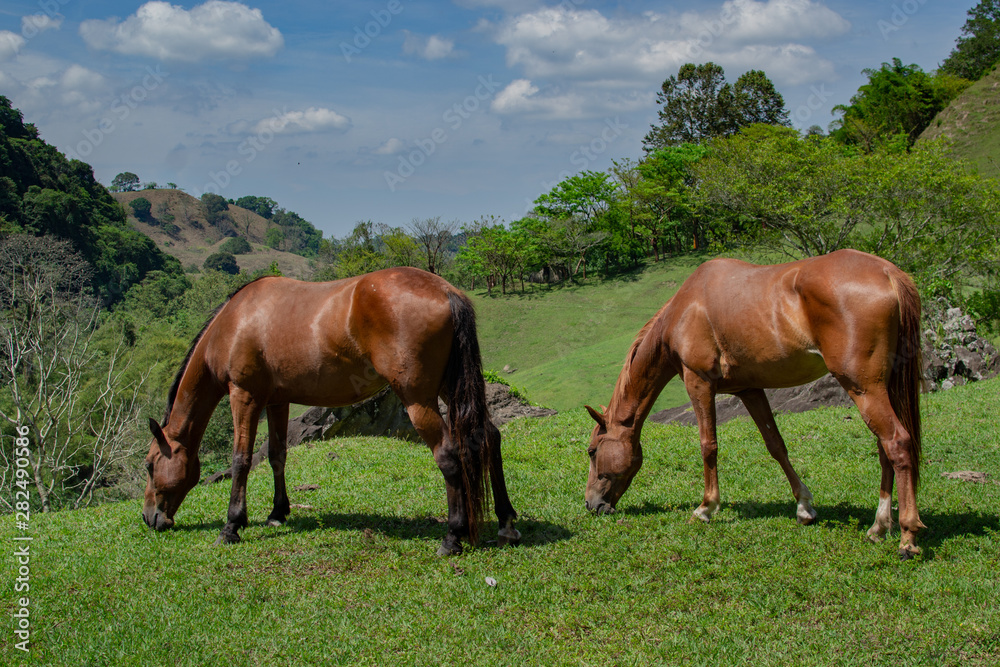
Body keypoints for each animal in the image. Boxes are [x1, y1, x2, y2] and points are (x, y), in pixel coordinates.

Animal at [144, 268, 520, 556]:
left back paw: (453, 536)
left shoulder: (245, 396)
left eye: (149, 465)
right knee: (488, 437)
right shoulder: (277, 400)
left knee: (448, 455)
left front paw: (232, 525)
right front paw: (278, 512)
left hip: (418, 399)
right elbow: (277, 455)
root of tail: (445, 290)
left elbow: (241, 460)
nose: (150, 518)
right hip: (449, 388)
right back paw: (506, 523)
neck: (235, 321)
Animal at [584, 249, 924, 560]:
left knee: (897, 443)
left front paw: (706, 507)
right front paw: (803, 506)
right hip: (879, 388)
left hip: (863, 387)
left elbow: (708, 445)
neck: (685, 309)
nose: (591, 504)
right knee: (884, 448)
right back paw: (879, 526)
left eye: (591, 451)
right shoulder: (750, 390)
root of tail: (888, 272)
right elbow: (776, 445)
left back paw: (907, 537)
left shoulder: (699, 383)